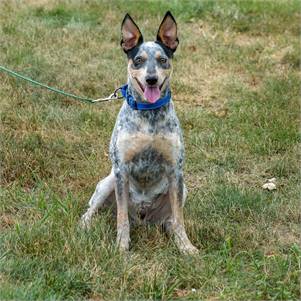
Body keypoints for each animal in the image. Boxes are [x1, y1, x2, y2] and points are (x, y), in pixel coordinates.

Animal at [81, 11, 197, 253]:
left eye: (162, 60)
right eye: (138, 60)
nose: (151, 79)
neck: (148, 115)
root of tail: (142, 217)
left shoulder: (176, 171)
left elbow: (179, 220)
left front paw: (186, 246)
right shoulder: (121, 170)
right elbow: (121, 218)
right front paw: (121, 247)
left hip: (183, 190)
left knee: (171, 219)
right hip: (107, 183)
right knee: (92, 210)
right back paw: (84, 226)